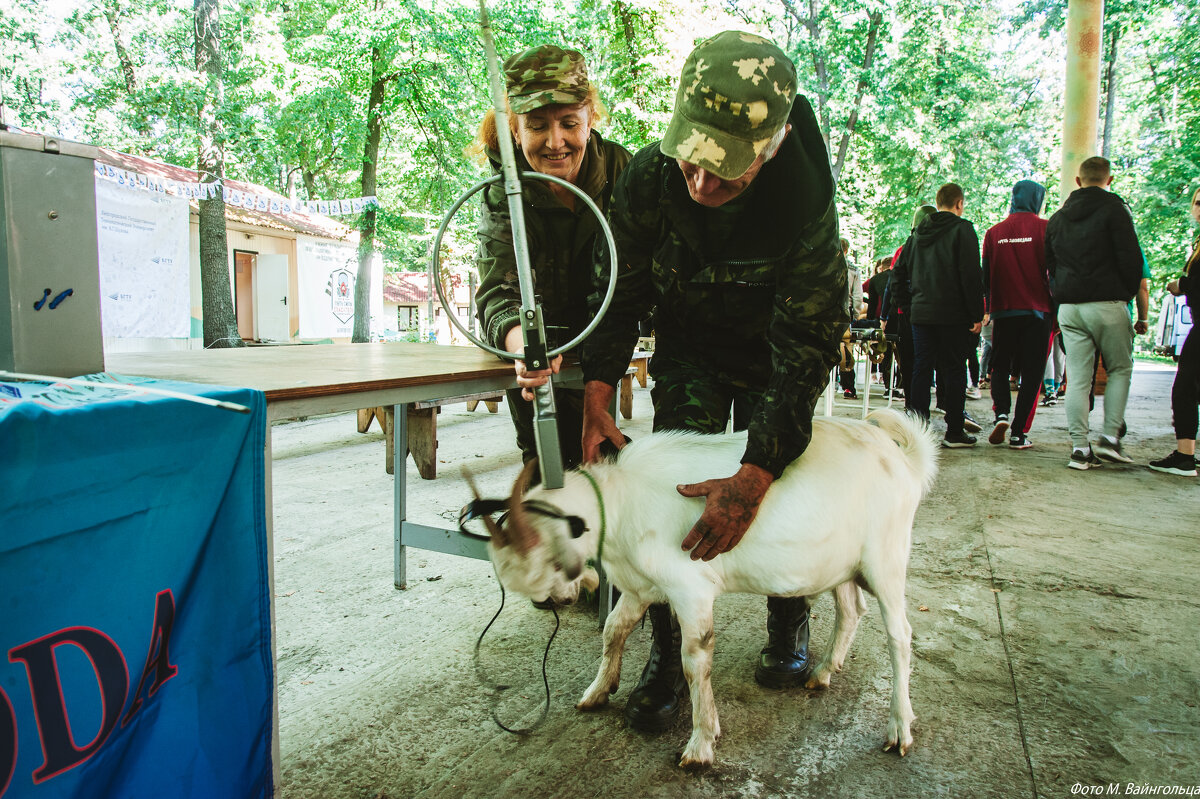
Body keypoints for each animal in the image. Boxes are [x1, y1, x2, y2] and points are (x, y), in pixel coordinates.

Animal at [475, 407, 936, 767]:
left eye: (546, 558)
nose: (554, 600)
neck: (621, 502)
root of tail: (904, 461)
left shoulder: (690, 588)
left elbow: (695, 660)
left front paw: (700, 744)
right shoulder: (640, 587)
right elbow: (613, 631)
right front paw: (597, 690)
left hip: (886, 557)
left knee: (900, 635)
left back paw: (899, 728)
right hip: (840, 563)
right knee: (851, 610)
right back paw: (823, 672)